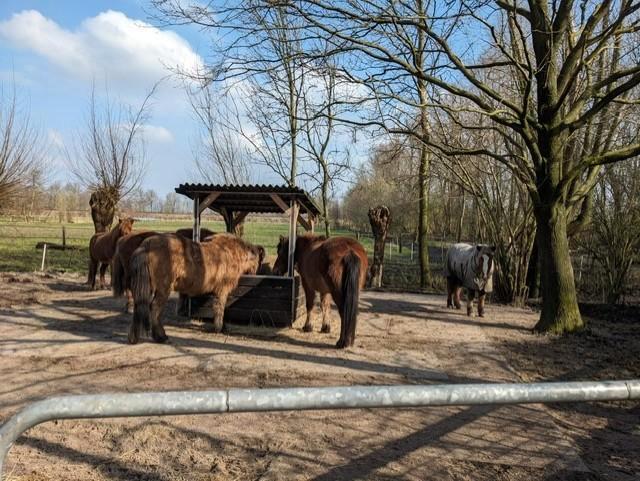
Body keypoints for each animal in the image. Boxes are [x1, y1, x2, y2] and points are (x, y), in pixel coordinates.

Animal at [128, 233, 264, 344]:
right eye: (259, 260)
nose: (256, 273)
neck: (231, 251)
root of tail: (146, 245)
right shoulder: (223, 289)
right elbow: (220, 308)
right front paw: (219, 328)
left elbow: (217, 308)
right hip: (163, 290)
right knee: (155, 309)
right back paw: (161, 337)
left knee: (139, 306)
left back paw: (133, 338)